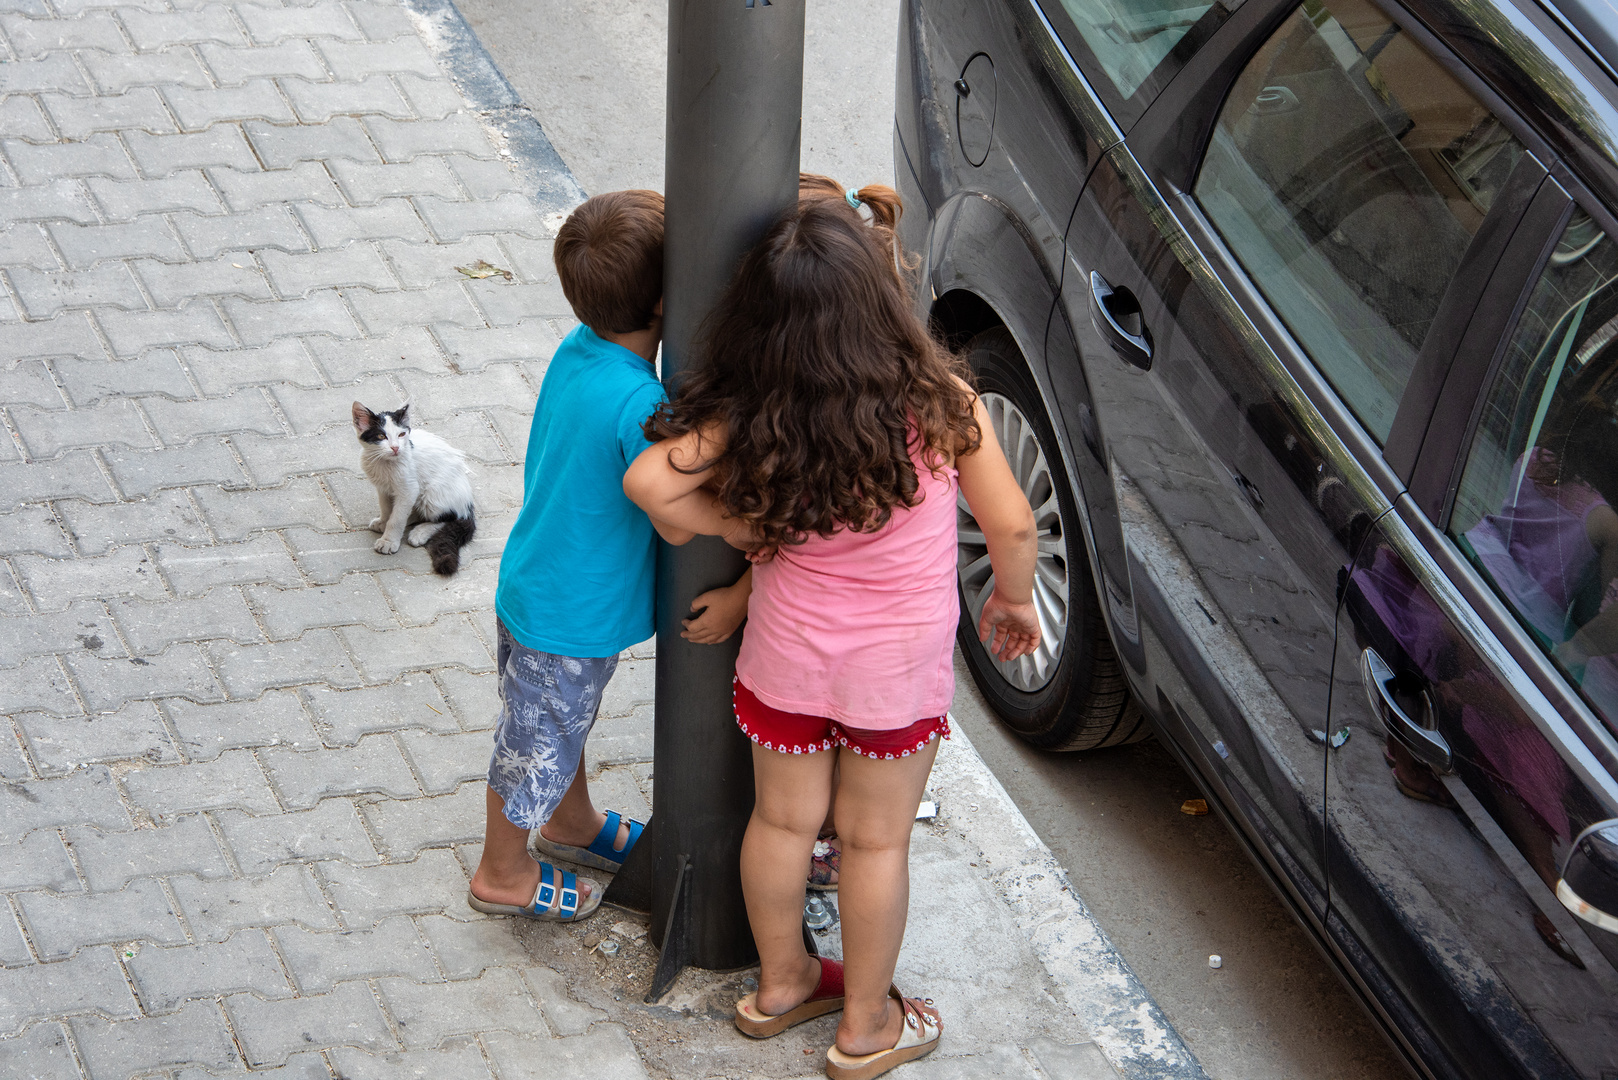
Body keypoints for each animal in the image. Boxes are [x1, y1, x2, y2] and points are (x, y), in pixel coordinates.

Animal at [351, 403, 475, 573]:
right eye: (381, 436)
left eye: (401, 434)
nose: (395, 448)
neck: (383, 463)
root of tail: (468, 503)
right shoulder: (383, 488)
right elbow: (386, 508)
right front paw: (384, 521)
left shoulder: (409, 489)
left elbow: (396, 519)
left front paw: (389, 541)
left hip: (432, 494)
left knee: (451, 516)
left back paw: (420, 532)